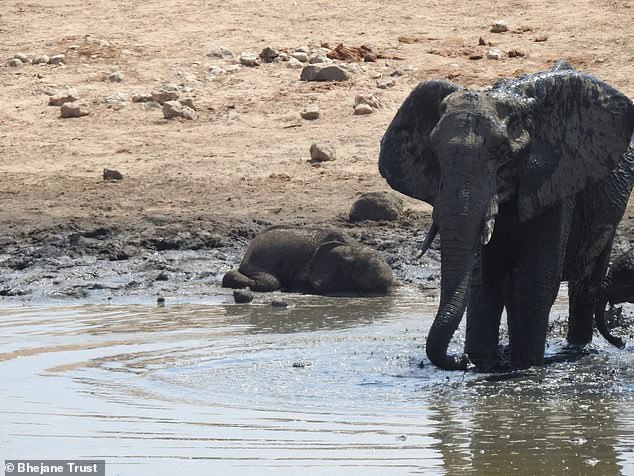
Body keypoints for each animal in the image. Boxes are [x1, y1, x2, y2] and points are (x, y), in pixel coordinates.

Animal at [378, 60, 628, 372]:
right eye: (434, 149)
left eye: (501, 152)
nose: (460, 360)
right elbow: (484, 282)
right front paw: (483, 364)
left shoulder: (555, 181)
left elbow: (534, 282)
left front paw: (524, 368)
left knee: (584, 284)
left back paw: (576, 349)